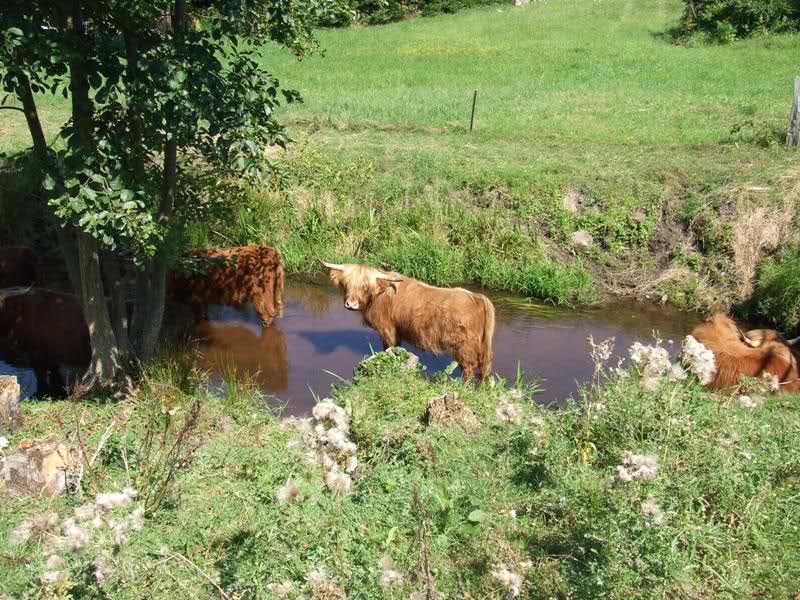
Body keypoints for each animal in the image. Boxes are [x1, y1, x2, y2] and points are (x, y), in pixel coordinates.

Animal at [320, 262, 494, 382]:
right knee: (484, 368)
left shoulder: (387, 329)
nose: (351, 304)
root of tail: (477, 297)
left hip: (464, 346)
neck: (379, 295)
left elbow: (388, 348)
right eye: (346, 284)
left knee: (470, 367)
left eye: (365, 286)